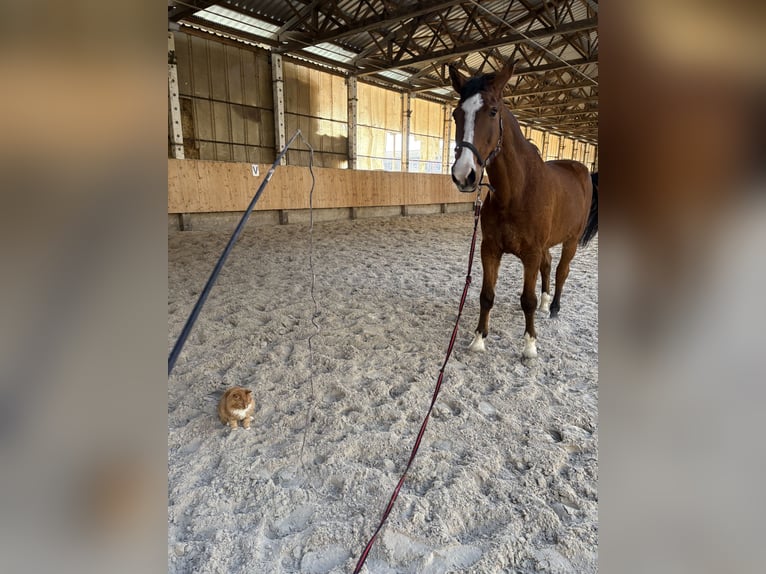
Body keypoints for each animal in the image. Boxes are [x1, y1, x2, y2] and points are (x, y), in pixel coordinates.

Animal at [448, 59, 598, 358]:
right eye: (457, 114)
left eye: (493, 111)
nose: (464, 175)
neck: (515, 193)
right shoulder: (490, 249)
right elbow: (486, 295)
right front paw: (479, 339)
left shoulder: (530, 253)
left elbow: (526, 299)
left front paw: (529, 345)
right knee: (548, 266)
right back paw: (545, 302)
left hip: (571, 240)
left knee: (562, 270)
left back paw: (554, 308)